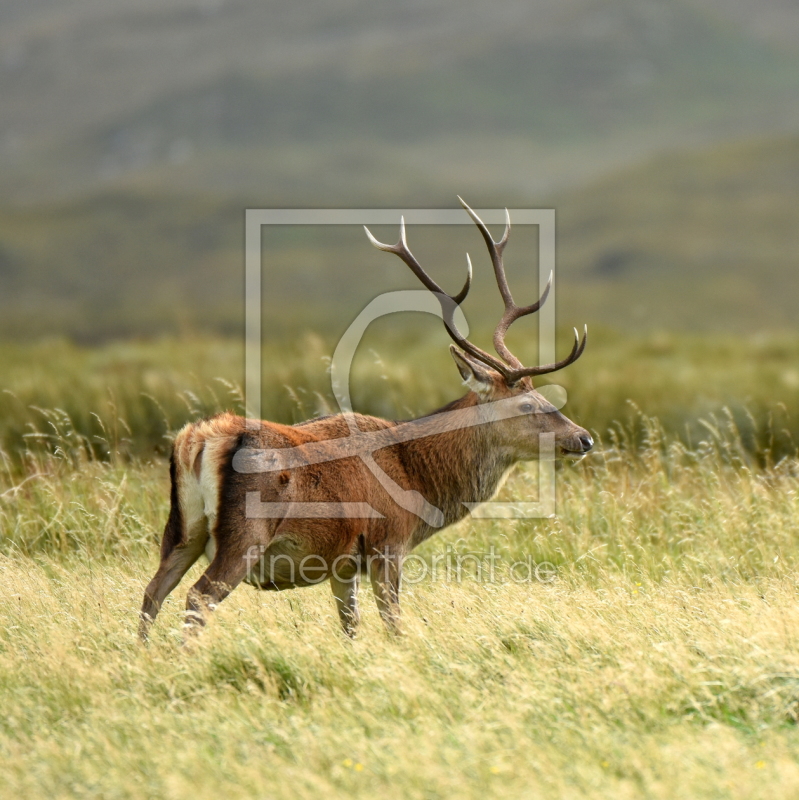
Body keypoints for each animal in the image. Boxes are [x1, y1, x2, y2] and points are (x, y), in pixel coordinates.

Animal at [138, 200, 592, 644]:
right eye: (528, 405)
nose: (584, 438)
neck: (419, 480)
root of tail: (197, 442)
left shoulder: (342, 564)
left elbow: (350, 628)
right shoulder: (387, 543)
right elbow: (393, 625)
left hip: (181, 529)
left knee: (152, 591)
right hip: (244, 535)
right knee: (197, 598)